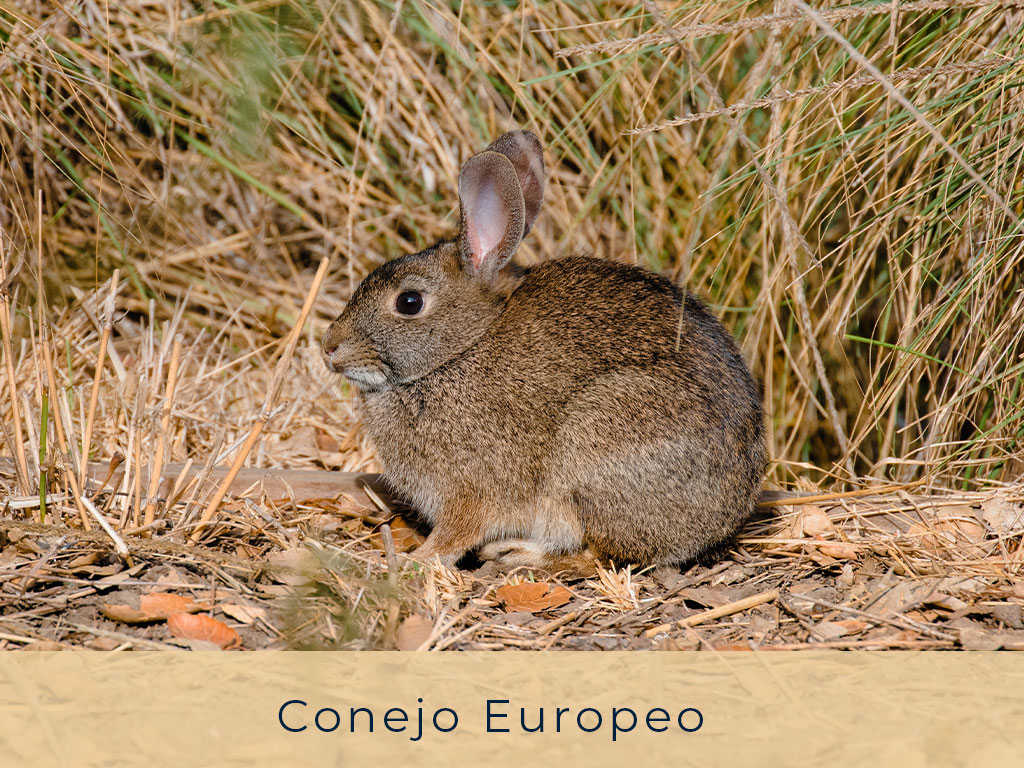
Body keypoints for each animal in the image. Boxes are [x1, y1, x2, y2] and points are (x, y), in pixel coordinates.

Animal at [322, 130, 766, 572]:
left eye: (409, 302)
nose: (329, 347)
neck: (459, 351)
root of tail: (725, 517)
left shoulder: (471, 489)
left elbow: (455, 533)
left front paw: (415, 560)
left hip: (594, 449)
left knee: (599, 556)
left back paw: (515, 553)